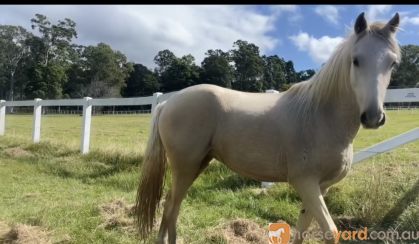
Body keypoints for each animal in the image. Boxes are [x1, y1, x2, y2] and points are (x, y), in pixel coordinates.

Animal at [136, 12, 402, 244]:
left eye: (392, 63)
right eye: (356, 60)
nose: (373, 117)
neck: (321, 116)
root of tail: (169, 102)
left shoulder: (320, 187)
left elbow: (302, 229)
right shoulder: (305, 182)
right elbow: (330, 232)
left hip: (197, 164)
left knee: (171, 204)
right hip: (185, 166)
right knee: (171, 207)